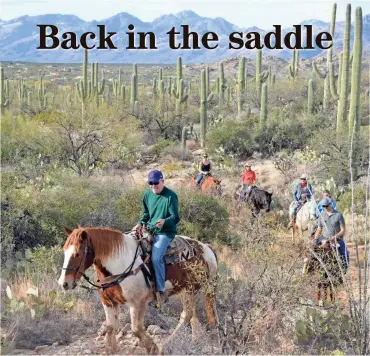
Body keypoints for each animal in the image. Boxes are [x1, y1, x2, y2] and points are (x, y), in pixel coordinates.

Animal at [57, 227, 218, 354]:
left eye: (77, 254)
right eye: (64, 252)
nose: (64, 283)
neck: (119, 265)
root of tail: (206, 248)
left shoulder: (138, 303)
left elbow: (136, 329)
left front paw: (153, 348)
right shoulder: (108, 302)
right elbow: (110, 327)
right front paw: (112, 349)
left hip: (193, 288)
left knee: (187, 314)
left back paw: (167, 345)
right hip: (185, 290)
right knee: (192, 314)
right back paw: (195, 340)